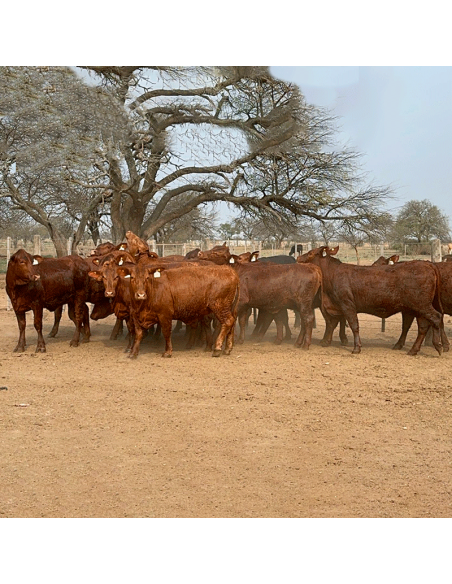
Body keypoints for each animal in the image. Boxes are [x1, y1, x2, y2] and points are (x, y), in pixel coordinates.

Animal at [298, 244, 444, 354]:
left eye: (310, 253)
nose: (299, 257)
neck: (333, 273)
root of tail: (427, 265)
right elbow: (333, 323)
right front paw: (326, 342)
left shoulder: (347, 305)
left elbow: (354, 325)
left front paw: (356, 348)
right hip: (416, 308)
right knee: (422, 327)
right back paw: (413, 349)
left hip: (421, 305)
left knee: (436, 318)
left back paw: (436, 346)